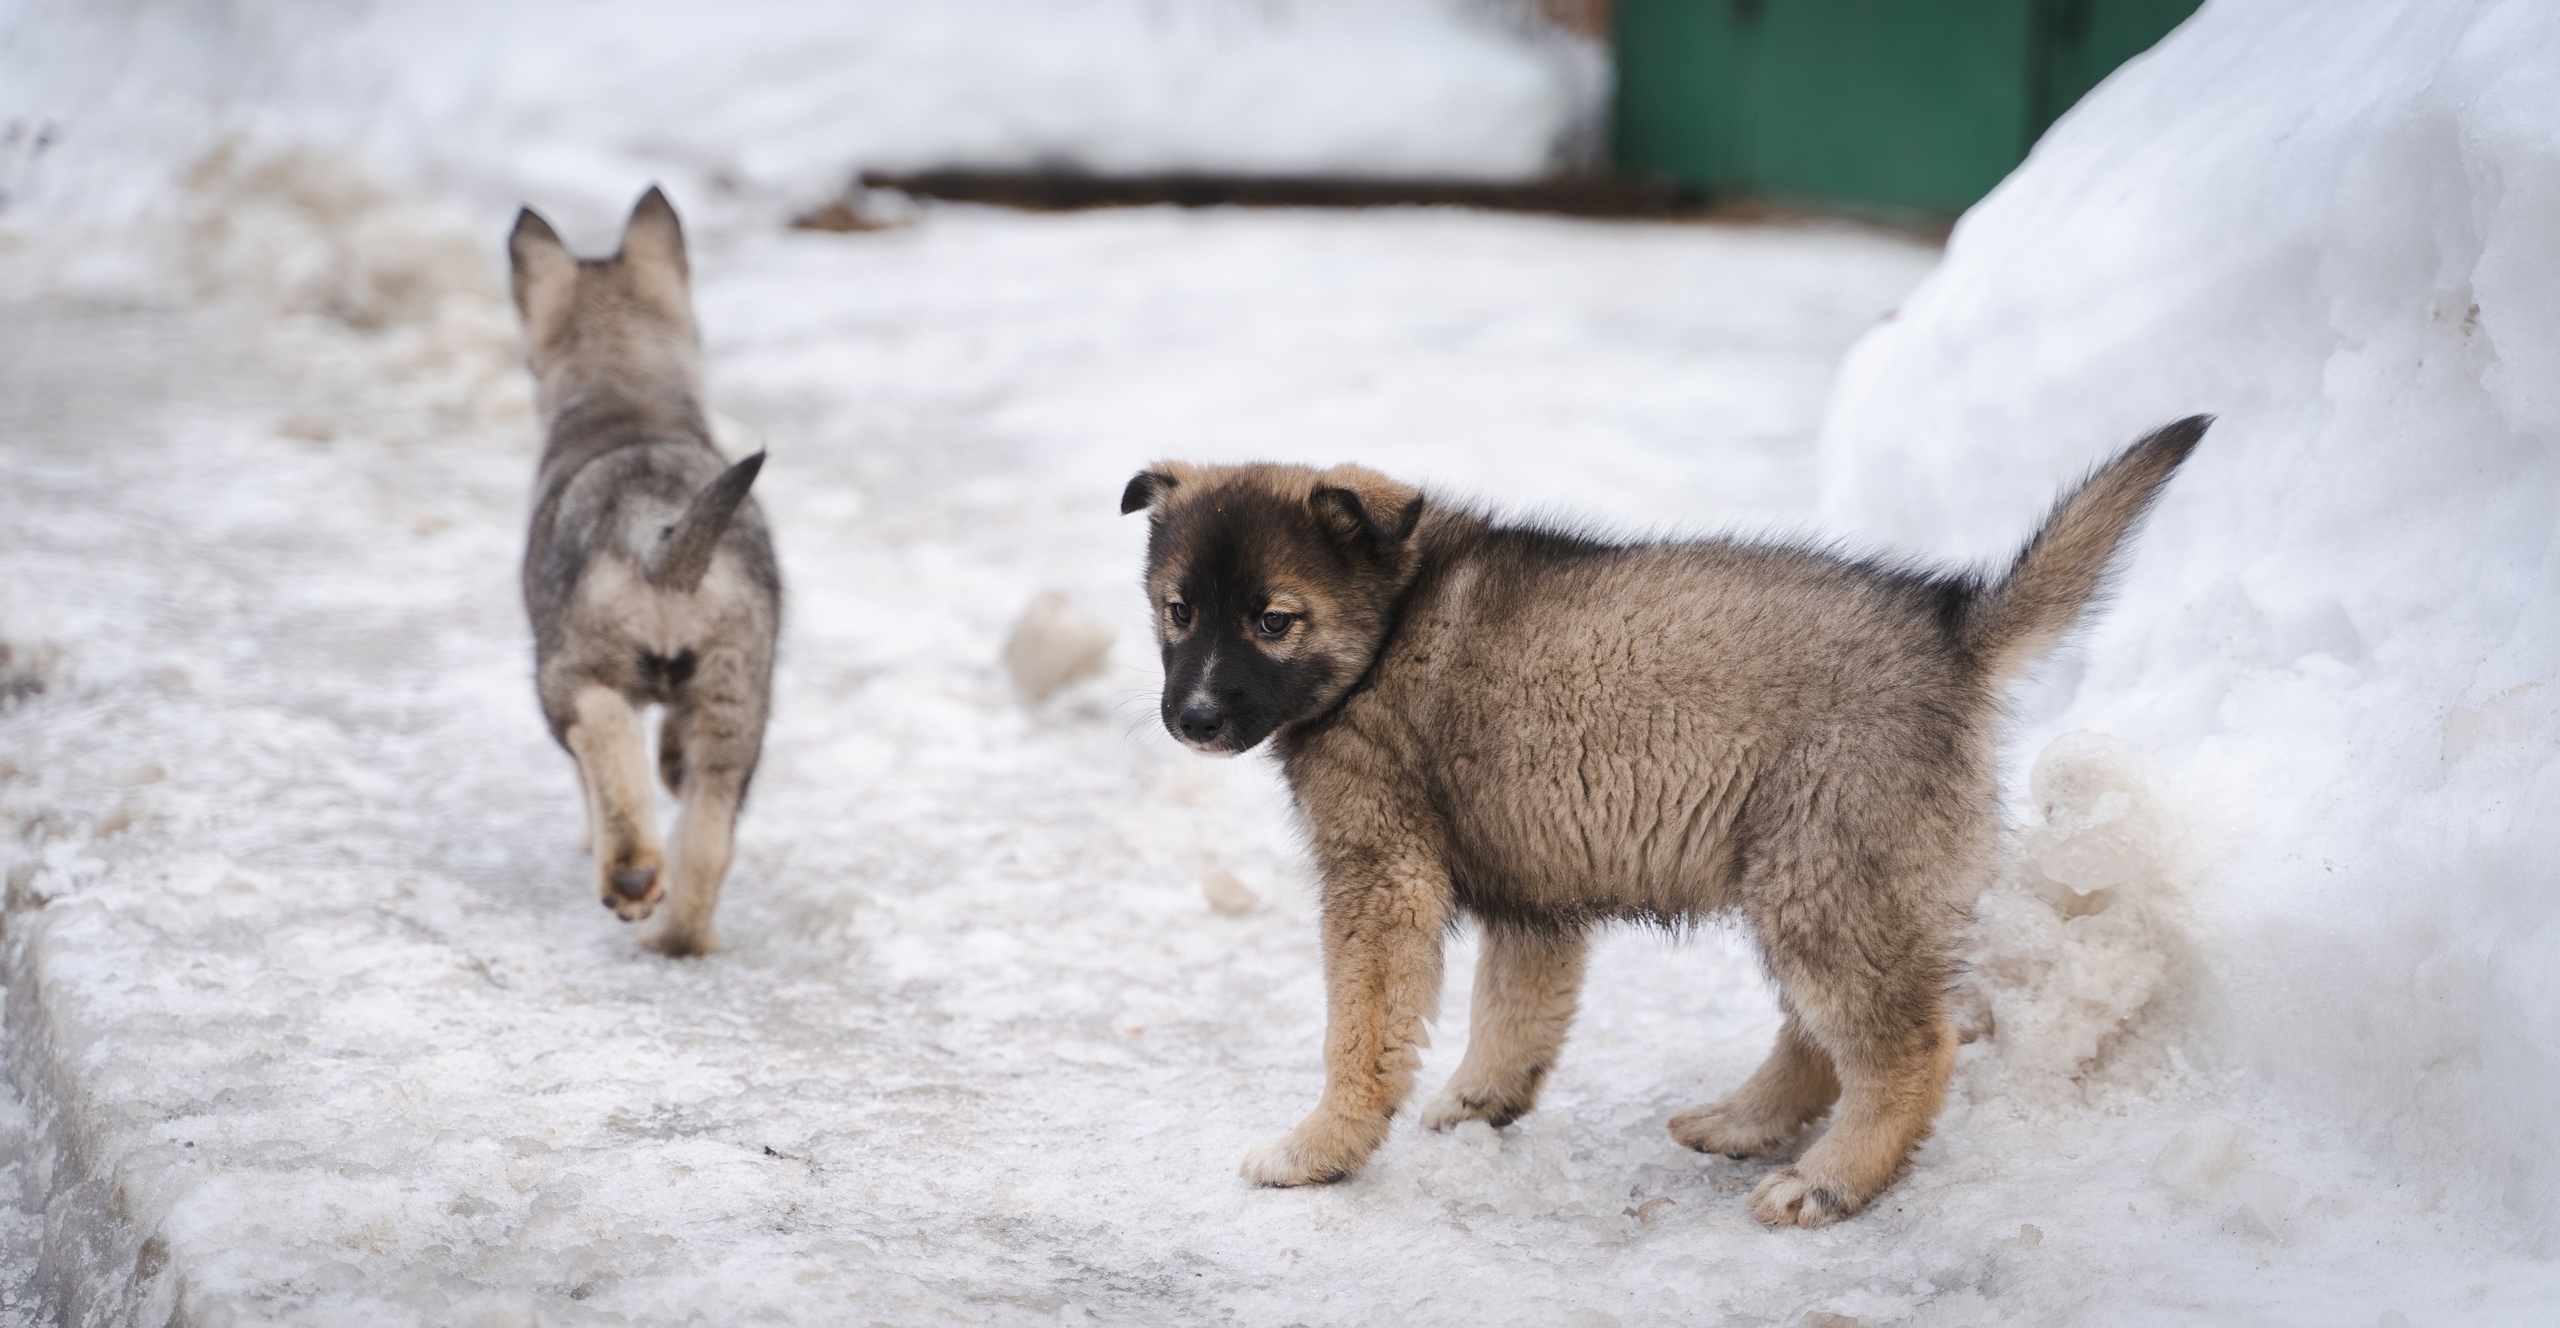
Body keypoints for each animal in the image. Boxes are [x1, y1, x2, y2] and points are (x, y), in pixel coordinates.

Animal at [506, 186, 768, 956]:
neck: (625, 387)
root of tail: (656, 537)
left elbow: (590, 778)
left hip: (565, 671)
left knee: (603, 735)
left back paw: (629, 875)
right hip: (737, 696)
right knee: (709, 830)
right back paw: (678, 938)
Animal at [1121, 414, 2201, 1228]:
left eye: (1273, 621)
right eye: (1178, 611)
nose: (1194, 718)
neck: (1385, 626)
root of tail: (1954, 635)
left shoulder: (1379, 875)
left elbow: (1362, 1030)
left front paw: (1320, 1148)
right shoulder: (1535, 893)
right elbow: (1514, 1009)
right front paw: (1481, 1100)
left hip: (1823, 871)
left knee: (1904, 1045)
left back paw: (1829, 1181)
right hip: (1814, 874)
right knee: (1823, 1033)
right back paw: (1744, 1122)